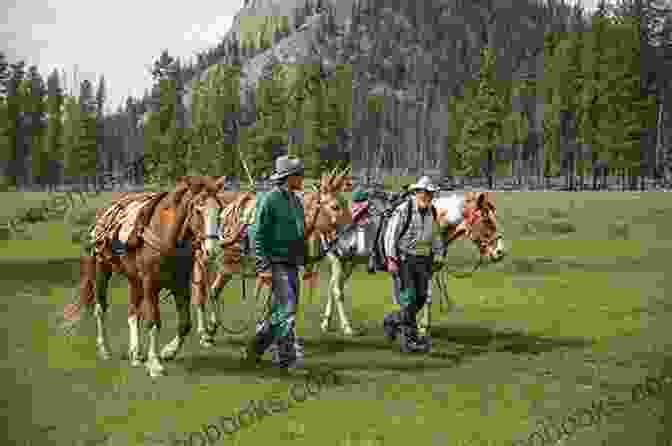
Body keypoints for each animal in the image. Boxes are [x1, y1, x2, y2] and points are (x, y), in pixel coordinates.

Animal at [63, 176, 226, 378]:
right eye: (198, 209)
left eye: (219, 210)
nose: (212, 250)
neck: (165, 234)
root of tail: (101, 218)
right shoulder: (150, 284)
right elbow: (153, 321)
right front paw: (154, 364)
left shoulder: (180, 284)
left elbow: (185, 323)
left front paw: (168, 351)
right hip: (101, 271)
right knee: (100, 308)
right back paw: (104, 349)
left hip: (134, 280)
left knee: (133, 312)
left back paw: (135, 353)